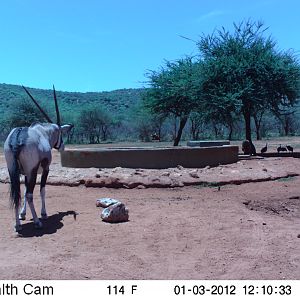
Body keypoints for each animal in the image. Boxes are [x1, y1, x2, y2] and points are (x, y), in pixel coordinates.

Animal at [4, 85, 73, 233]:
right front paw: (44, 213)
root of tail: (18, 137)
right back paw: (37, 222)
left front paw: (22, 214)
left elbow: (24, 191)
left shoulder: (25, 173)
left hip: (13, 170)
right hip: (33, 171)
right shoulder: (45, 169)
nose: (62, 147)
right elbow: (42, 190)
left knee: (17, 193)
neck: (44, 132)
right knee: (30, 195)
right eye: (60, 133)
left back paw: (17, 224)